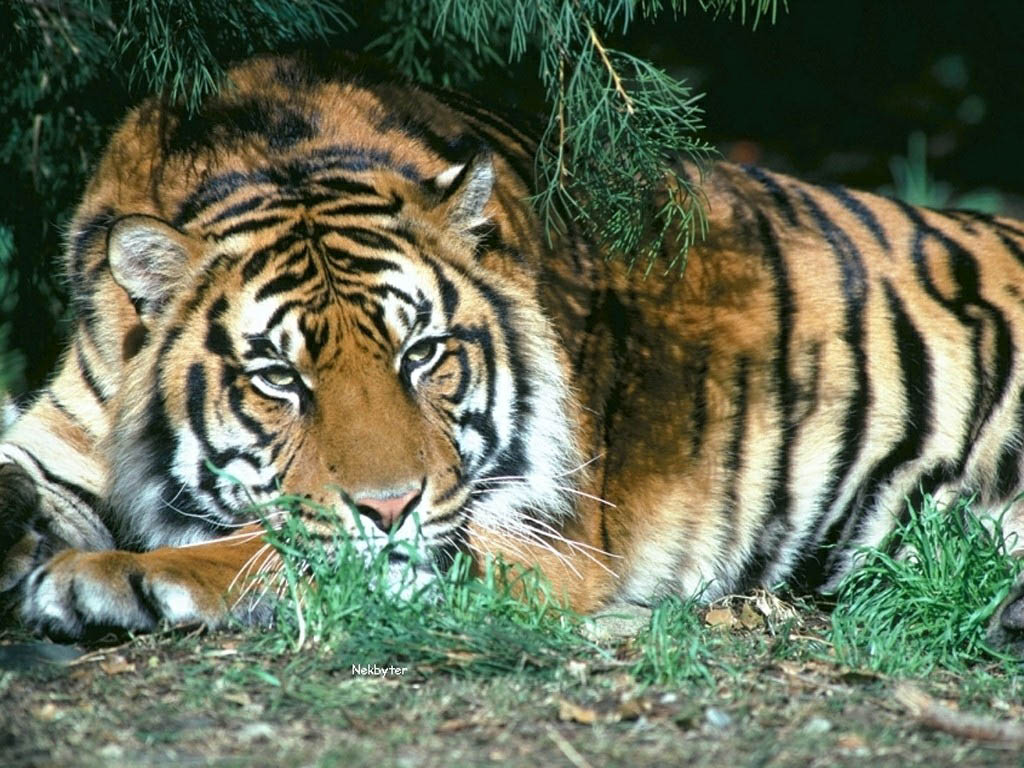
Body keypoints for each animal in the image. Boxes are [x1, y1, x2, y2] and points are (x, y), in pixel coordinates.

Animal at [1, 53, 1023, 651]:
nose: (391, 505)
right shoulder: (59, 434)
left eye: (422, 354)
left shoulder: (534, 534)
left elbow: (280, 548)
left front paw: (103, 581)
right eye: (279, 379)